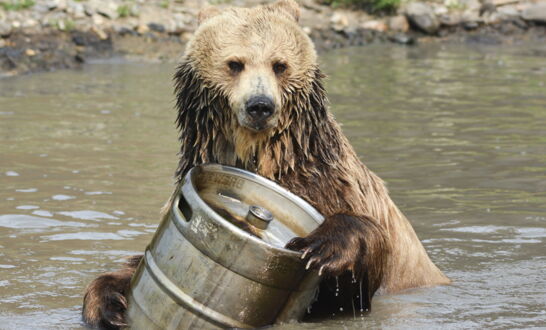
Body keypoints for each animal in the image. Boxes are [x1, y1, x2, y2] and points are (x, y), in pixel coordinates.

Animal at [81, 0, 446, 328]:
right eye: (234, 63)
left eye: (279, 64)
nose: (260, 105)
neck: (264, 155)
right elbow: (133, 265)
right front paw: (107, 302)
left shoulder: (330, 185)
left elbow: (350, 283)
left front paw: (321, 247)